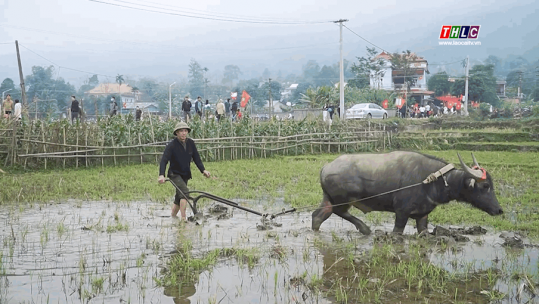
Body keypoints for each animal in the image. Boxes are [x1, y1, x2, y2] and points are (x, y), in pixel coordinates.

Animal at [314, 151, 504, 234]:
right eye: (485, 186)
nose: (499, 210)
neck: (432, 180)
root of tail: (326, 167)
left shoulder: (423, 215)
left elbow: (423, 231)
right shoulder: (401, 212)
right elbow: (397, 232)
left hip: (328, 199)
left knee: (318, 215)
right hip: (343, 200)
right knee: (338, 212)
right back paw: (364, 228)